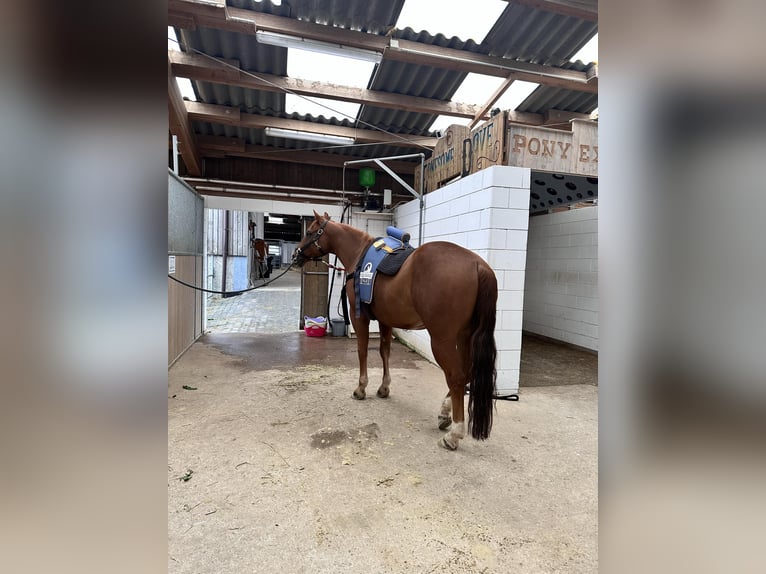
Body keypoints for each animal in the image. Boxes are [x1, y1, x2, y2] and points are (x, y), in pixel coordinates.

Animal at [292, 209, 498, 452]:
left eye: (310, 232)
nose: (296, 255)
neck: (359, 253)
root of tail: (477, 265)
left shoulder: (360, 317)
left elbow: (363, 351)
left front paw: (361, 388)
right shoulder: (385, 320)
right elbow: (384, 352)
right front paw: (384, 388)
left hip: (442, 339)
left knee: (455, 377)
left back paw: (454, 434)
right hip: (464, 336)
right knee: (465, 373)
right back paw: (444, 414)